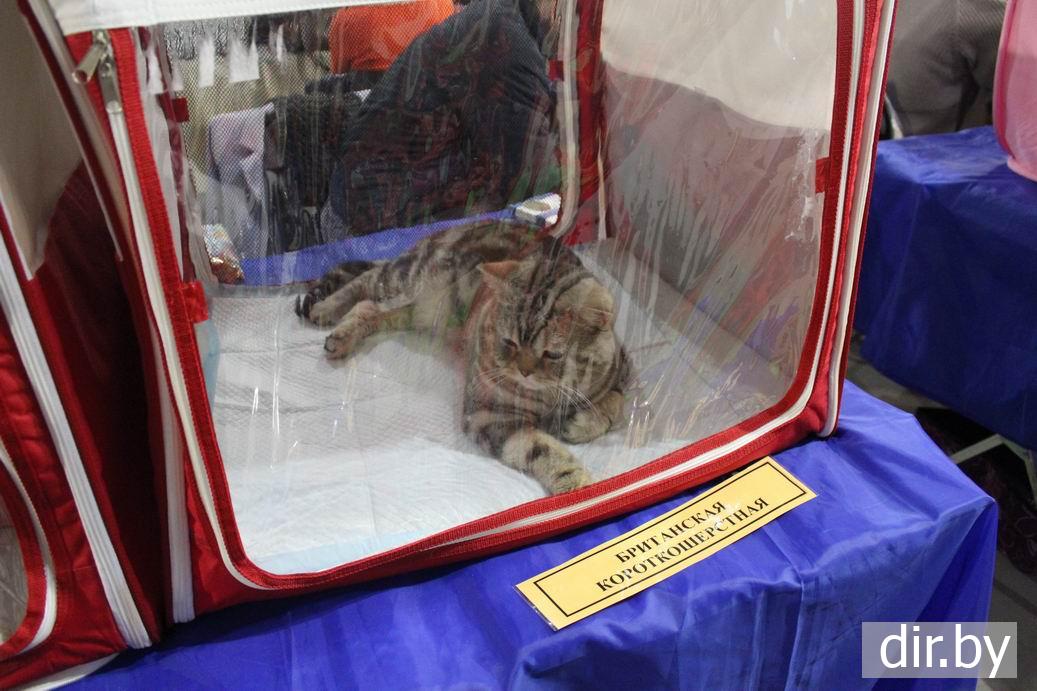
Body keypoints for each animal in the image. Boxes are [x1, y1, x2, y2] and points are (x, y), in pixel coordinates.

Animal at [296, 220, 630, 494]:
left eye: (552, 354)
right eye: (509, 342)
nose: (523, 371)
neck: (546, 397)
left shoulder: (622, 366)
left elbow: (616, 402)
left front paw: (582, 422)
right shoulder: (488, 415)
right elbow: (542, 449)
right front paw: (576, 481)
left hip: (415, 312)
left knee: (368, 307)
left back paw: (342, 334)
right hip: (405, 279)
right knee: (366, 280)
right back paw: (327, 309)